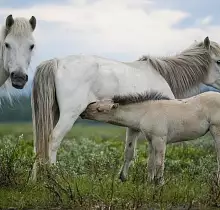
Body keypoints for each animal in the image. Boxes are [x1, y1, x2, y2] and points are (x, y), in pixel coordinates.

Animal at [81, 91, 220, 185]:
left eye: (99, 109)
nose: (82, 112)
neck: (146, 112)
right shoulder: (151, 140)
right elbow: (150, 163)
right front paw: (149, 182)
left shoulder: (160, 139)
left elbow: (159, 162)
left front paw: (160, 183)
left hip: (216, 130)